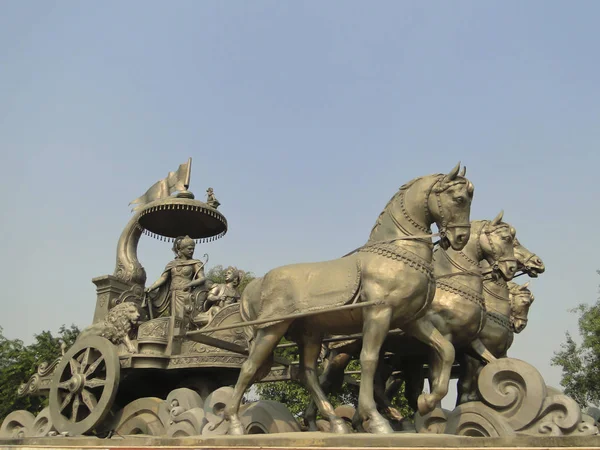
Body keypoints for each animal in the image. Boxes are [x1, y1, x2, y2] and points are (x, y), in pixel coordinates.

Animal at [225, 163, 474, 434]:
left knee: (308, 373)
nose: (461, 238)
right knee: (249, 368)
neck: (398, 252)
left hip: (310, 334)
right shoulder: (379, 314)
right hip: (272, 329)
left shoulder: (412, 321)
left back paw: (335, 423)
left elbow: (447, 350)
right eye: (459, 199)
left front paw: (426, 402)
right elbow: (369, 360)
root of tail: (258, 283)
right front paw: (375, 420)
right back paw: (234, 423)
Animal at [304, 213, 520, 428]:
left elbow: (487, 366)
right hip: (346, 349)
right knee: (327, 378)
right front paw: (432, 412)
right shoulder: (447, 341)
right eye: (507, 239)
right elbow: (441, 379)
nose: (510, 268)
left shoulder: (467, 344)